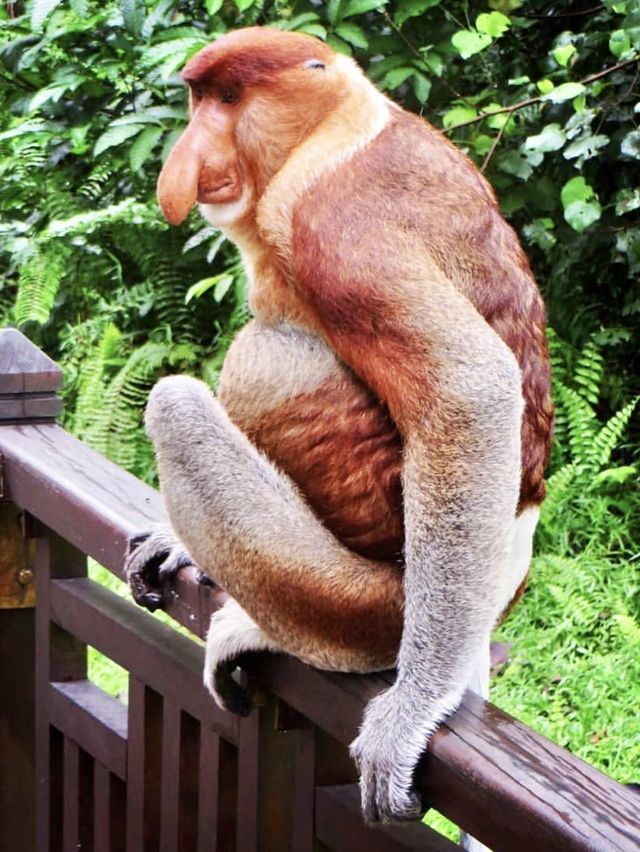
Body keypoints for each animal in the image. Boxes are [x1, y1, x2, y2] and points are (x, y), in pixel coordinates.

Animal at [124, 26, 552, 832]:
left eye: (229, 99)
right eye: (200, 100)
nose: (188, 159)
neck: (334, 129)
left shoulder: (336, 221)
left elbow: (470, 389)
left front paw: (410, 711)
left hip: (365, 599)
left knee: (182, 404)